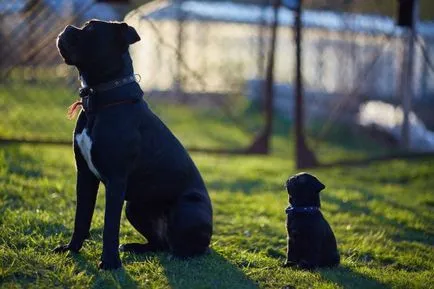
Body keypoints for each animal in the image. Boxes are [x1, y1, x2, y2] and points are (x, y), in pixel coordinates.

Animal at [53, 19, 213, 268]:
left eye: (91, 29)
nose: (68, 27)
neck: (101, 100)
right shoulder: (85, 175)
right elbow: (81, 217)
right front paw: (72, 249)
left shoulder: (116, 180)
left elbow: (110, 225)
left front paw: (110, 263)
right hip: (135, 207)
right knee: (160, 242)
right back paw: (135, 247)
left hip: (186, 210)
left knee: (193, 248)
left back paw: (178, 254)